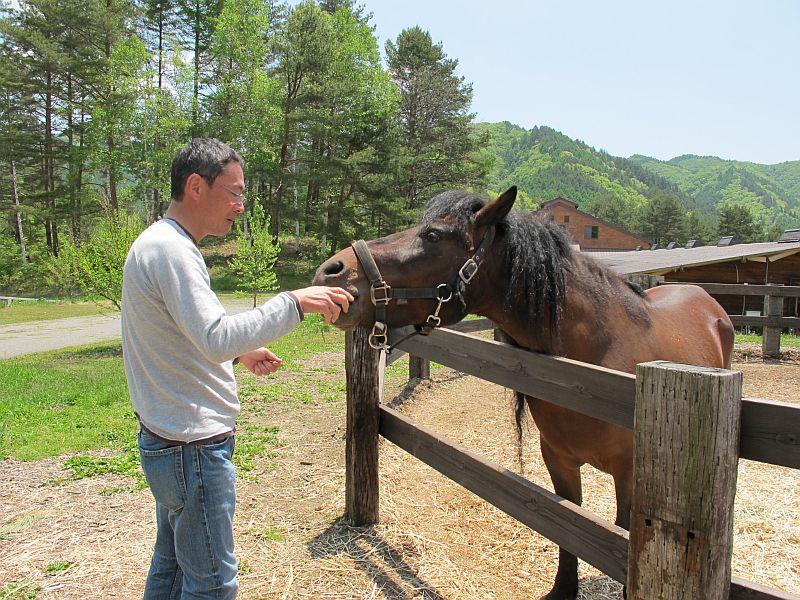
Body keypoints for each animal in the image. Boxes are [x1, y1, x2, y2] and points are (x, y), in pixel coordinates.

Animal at [310, 188, 736, 600]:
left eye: (432, 235)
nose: (331, 271)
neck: (595, 369)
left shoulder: (630, 475)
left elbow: (621, 536)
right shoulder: (559, 461)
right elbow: (569, 527)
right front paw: (563, 589)